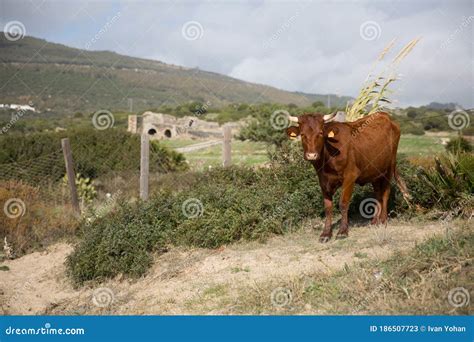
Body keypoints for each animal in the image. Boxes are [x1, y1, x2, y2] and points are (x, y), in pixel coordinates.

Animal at [286, 111, 410, 242]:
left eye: (320, 133)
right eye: (302, 134)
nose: (311, 155)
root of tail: (385, 116)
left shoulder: (350, 176)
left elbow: (343, 203)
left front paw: (342, 231)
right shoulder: (323, 180)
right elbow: (328, 207)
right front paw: (326, 233)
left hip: (389, 168)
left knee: (385, 193)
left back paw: (383, 220)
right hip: (374, 172)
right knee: (377, 194)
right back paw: (374, 221)